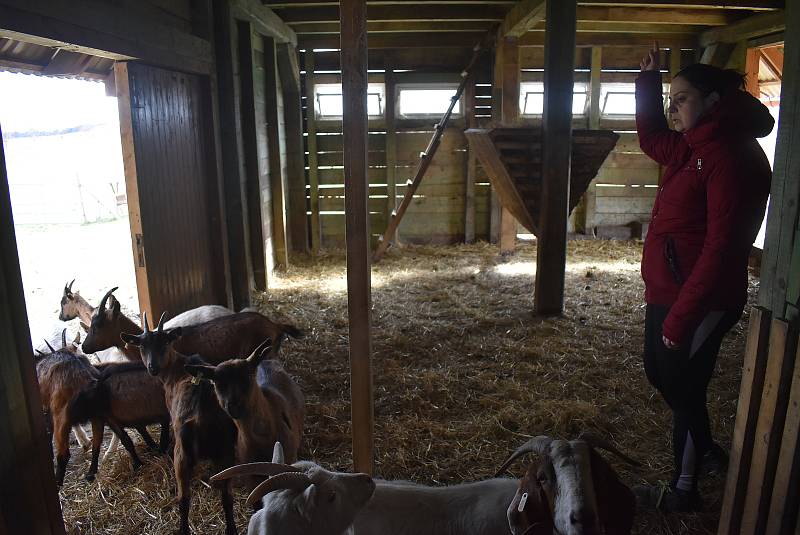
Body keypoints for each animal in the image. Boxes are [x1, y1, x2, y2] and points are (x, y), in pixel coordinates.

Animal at [119, 314, 238, 535]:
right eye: (142, 346)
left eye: (164, 342)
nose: (152, 367)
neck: (176, 368)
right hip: (226, 451)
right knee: (227, 496)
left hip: (181, 455)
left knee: (184, 498)